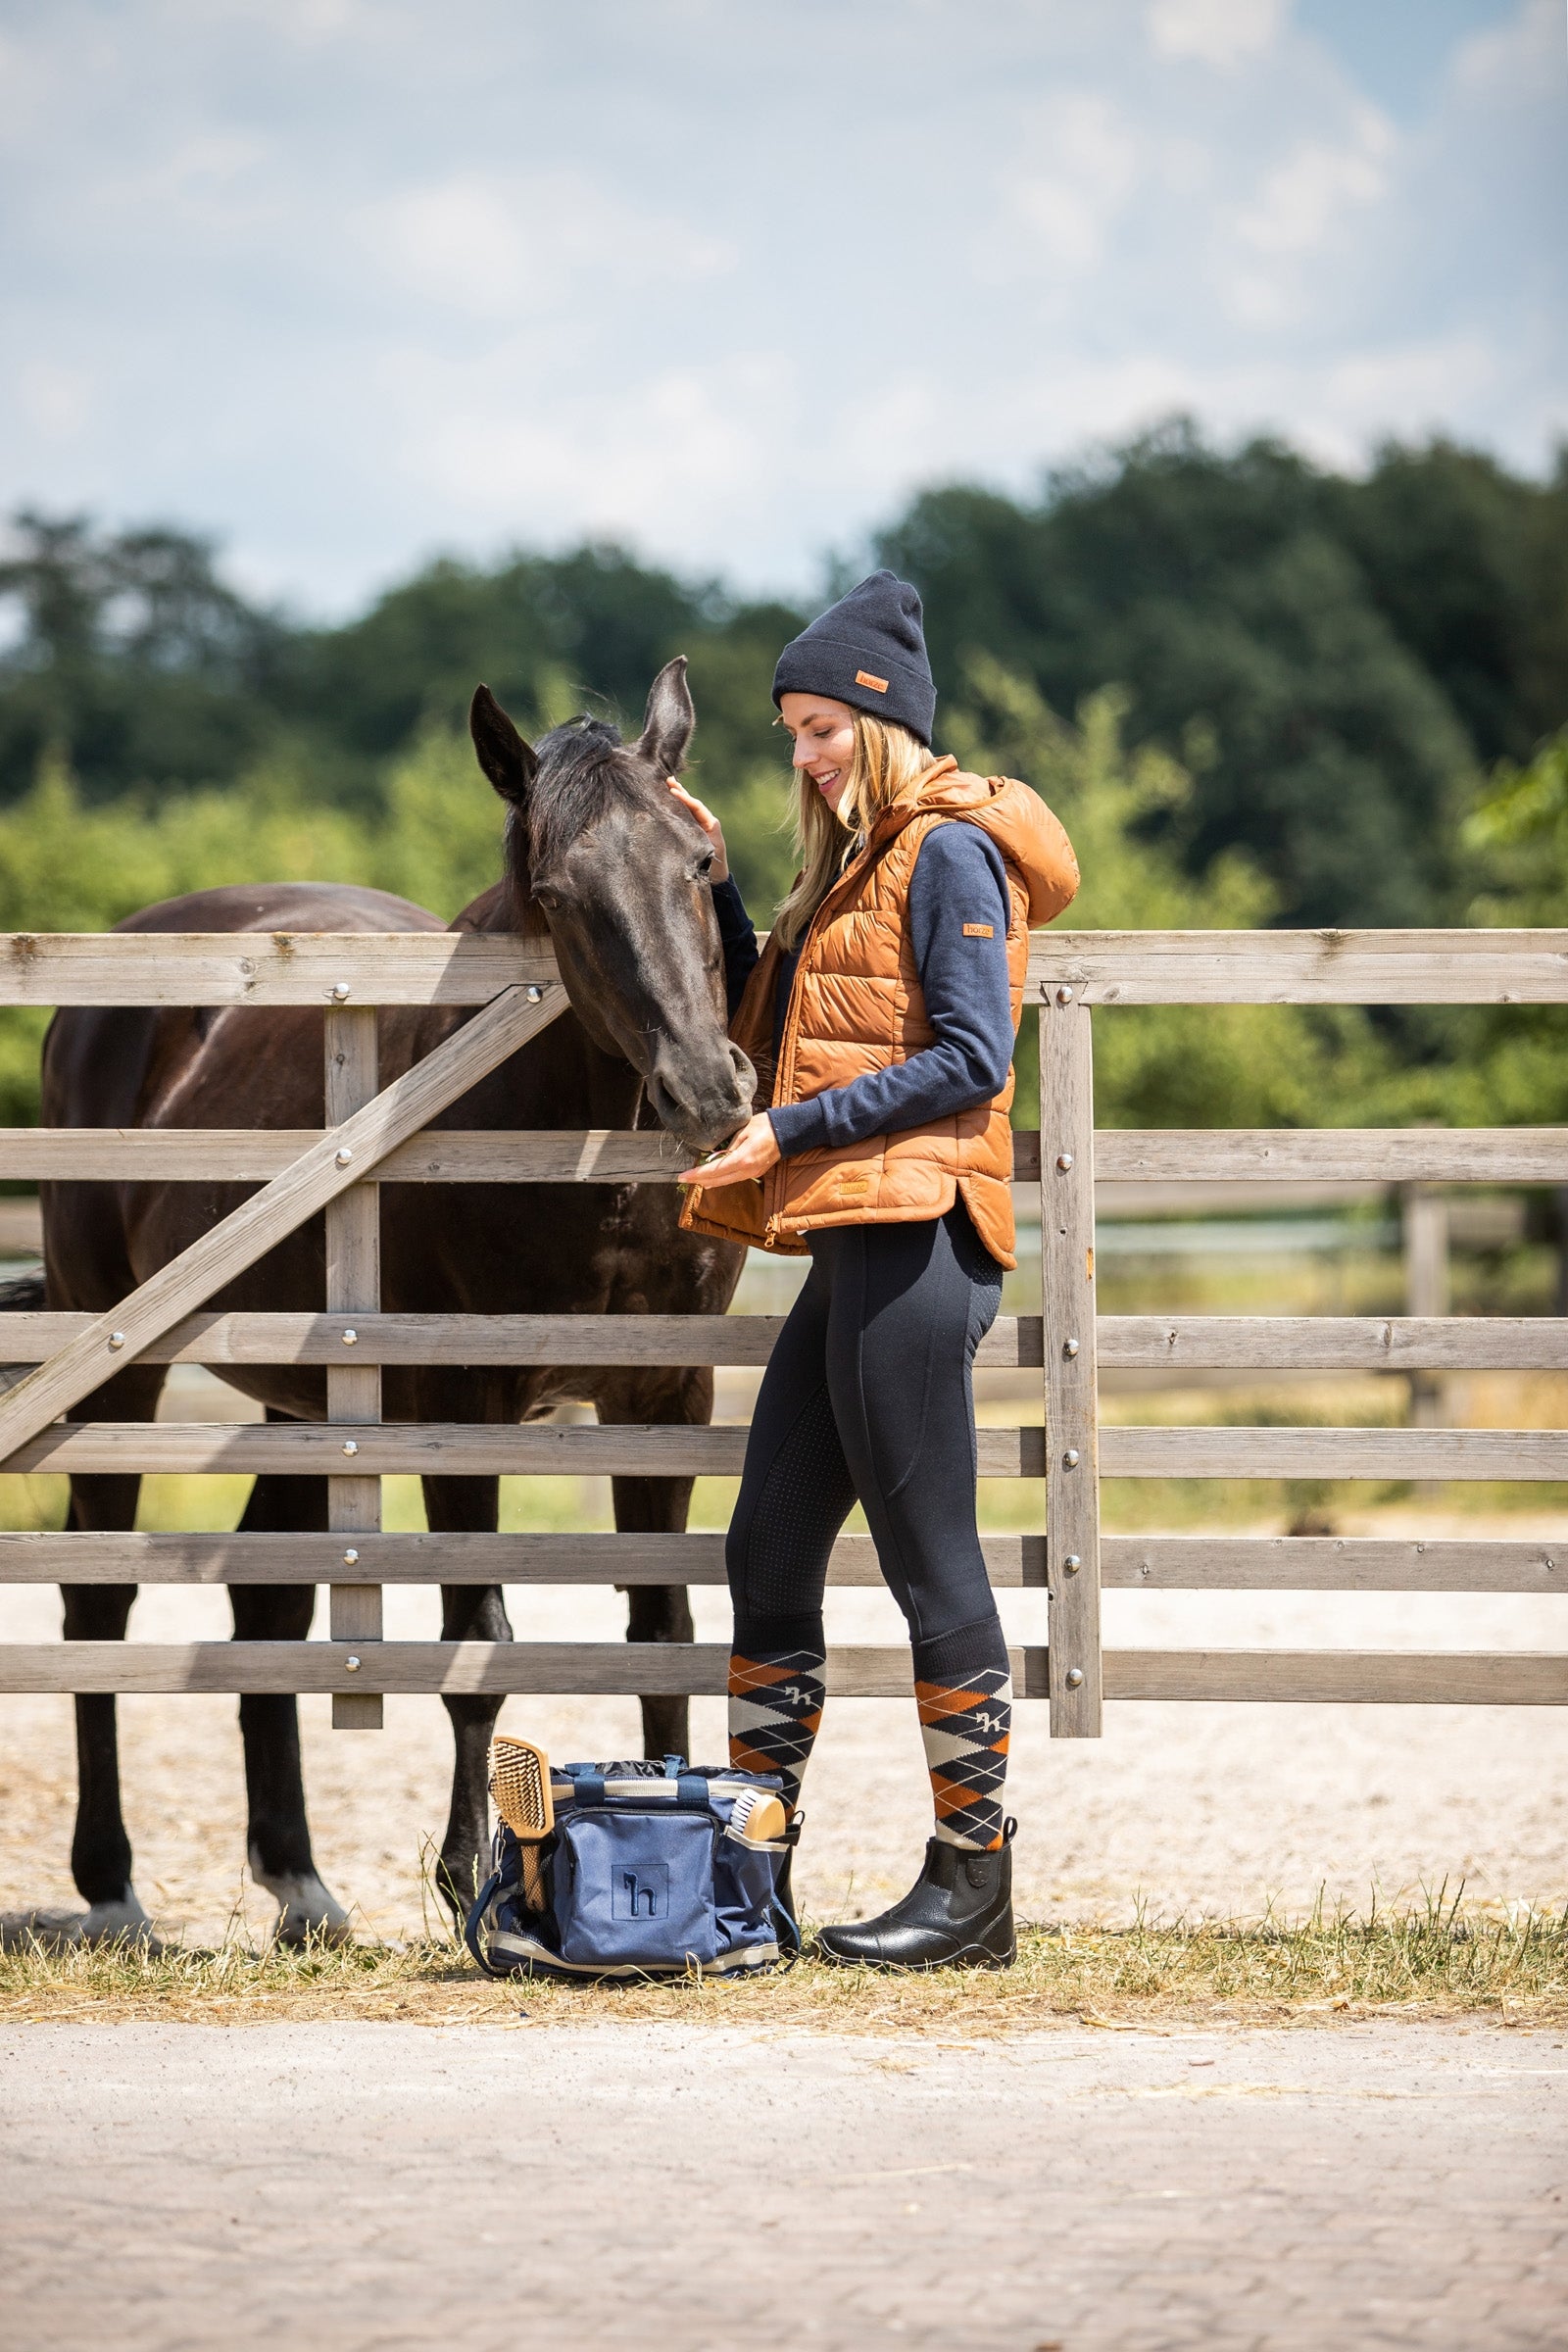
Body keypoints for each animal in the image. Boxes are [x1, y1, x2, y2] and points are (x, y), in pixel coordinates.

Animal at [29, 657, 752, 1942]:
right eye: (557, 895)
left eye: (700, 863)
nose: (706, 1091)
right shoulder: (455, 1401)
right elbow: (477, 1644)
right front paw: (473, 1882)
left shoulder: (662, 1394)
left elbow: (660, 1628)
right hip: (119, 1363)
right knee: (96, 1612)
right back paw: (113, 1889)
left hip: (308, 1404)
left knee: (262, 1614)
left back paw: (300, 1886)